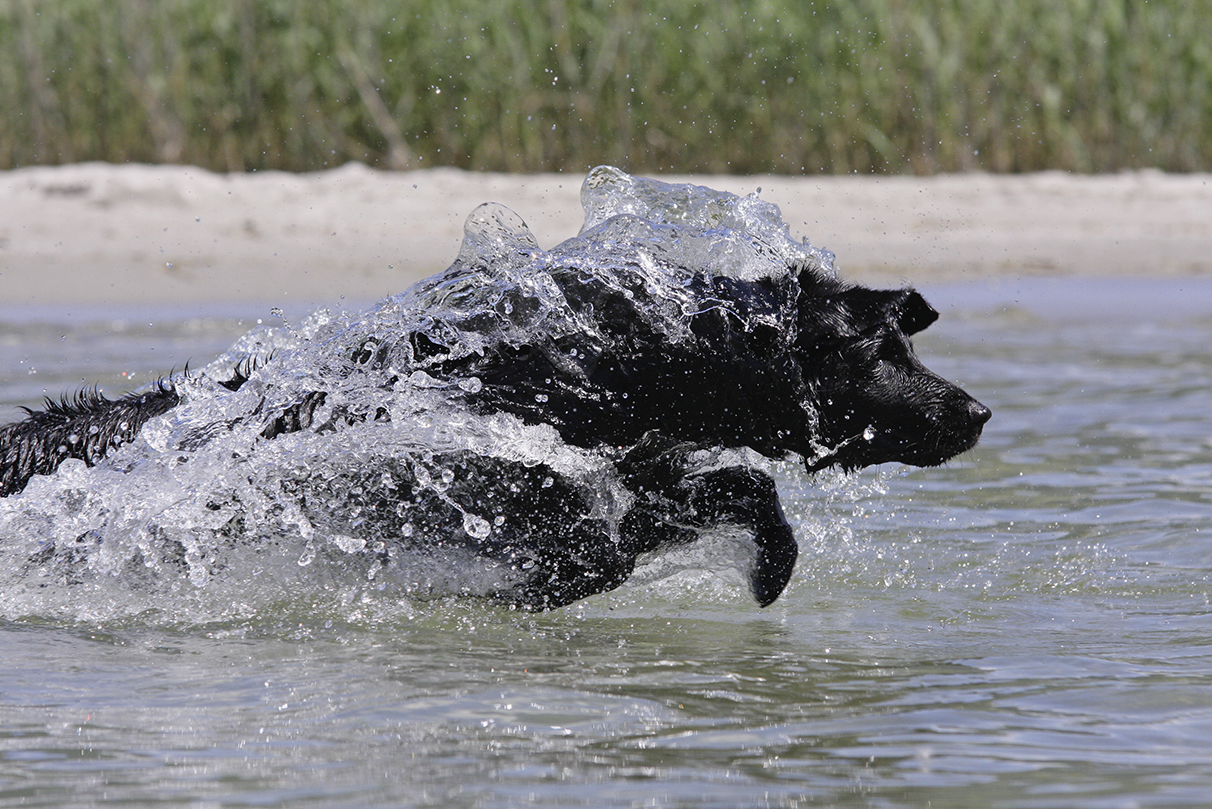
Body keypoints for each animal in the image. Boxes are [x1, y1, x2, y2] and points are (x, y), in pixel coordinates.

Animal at [0, 264, 984, 606]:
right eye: (882, 351)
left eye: (908, 346)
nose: (975, 412)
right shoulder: (475, 473)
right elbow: (597, 549)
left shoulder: (639, 465)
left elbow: (745, 491)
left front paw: (769, 567)